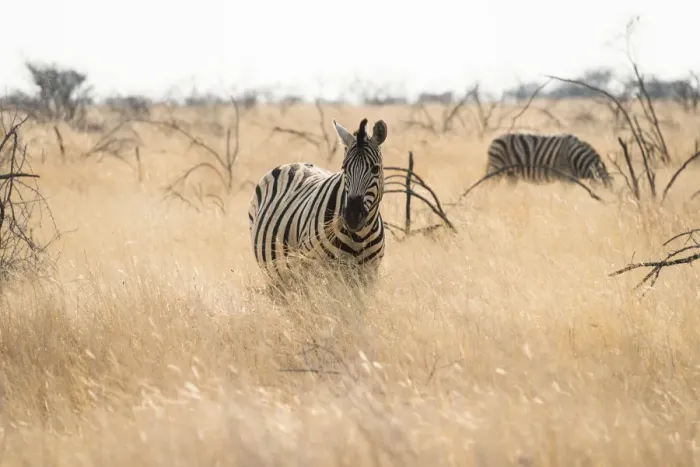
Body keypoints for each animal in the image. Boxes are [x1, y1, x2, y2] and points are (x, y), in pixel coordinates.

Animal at [248, 117, 388, 287]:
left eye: (375, 169)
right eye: (344, 168)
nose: (352, 217)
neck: (359, 236)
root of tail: (295, 164)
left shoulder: (369, 274)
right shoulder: (317, 270)